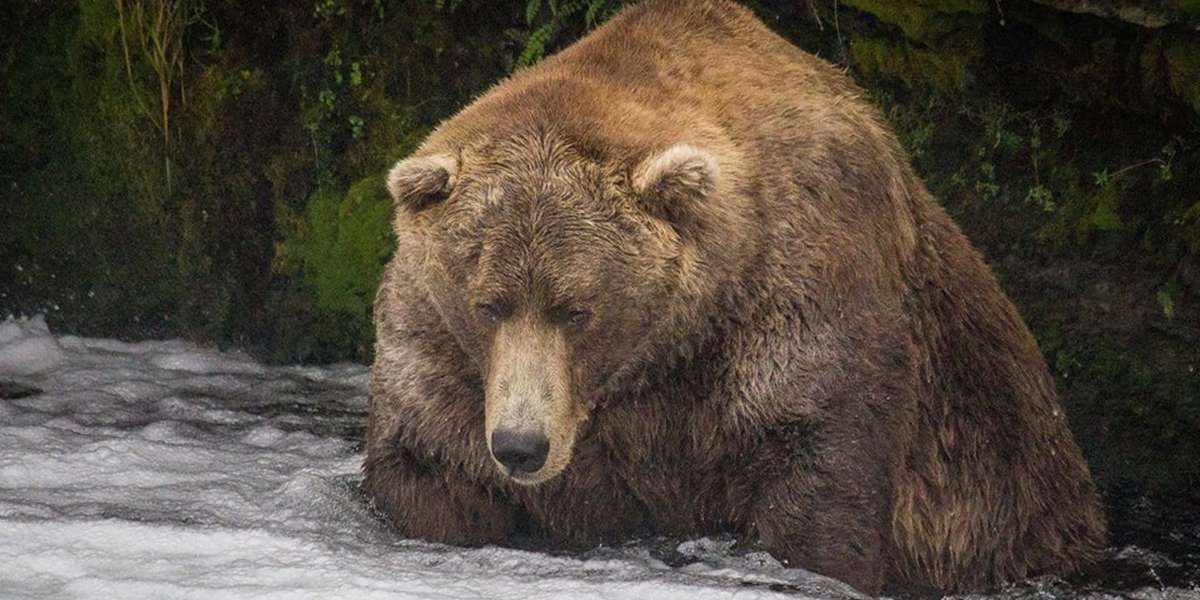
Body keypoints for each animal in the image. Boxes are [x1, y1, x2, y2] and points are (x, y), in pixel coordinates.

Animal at [362, 0, 1104, 590]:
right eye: (487, 303)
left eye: (578, 309)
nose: (522, 445)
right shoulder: (440, 351)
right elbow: (428, 463)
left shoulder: (795, 301)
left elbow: (818, 478)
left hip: (1013, 471)